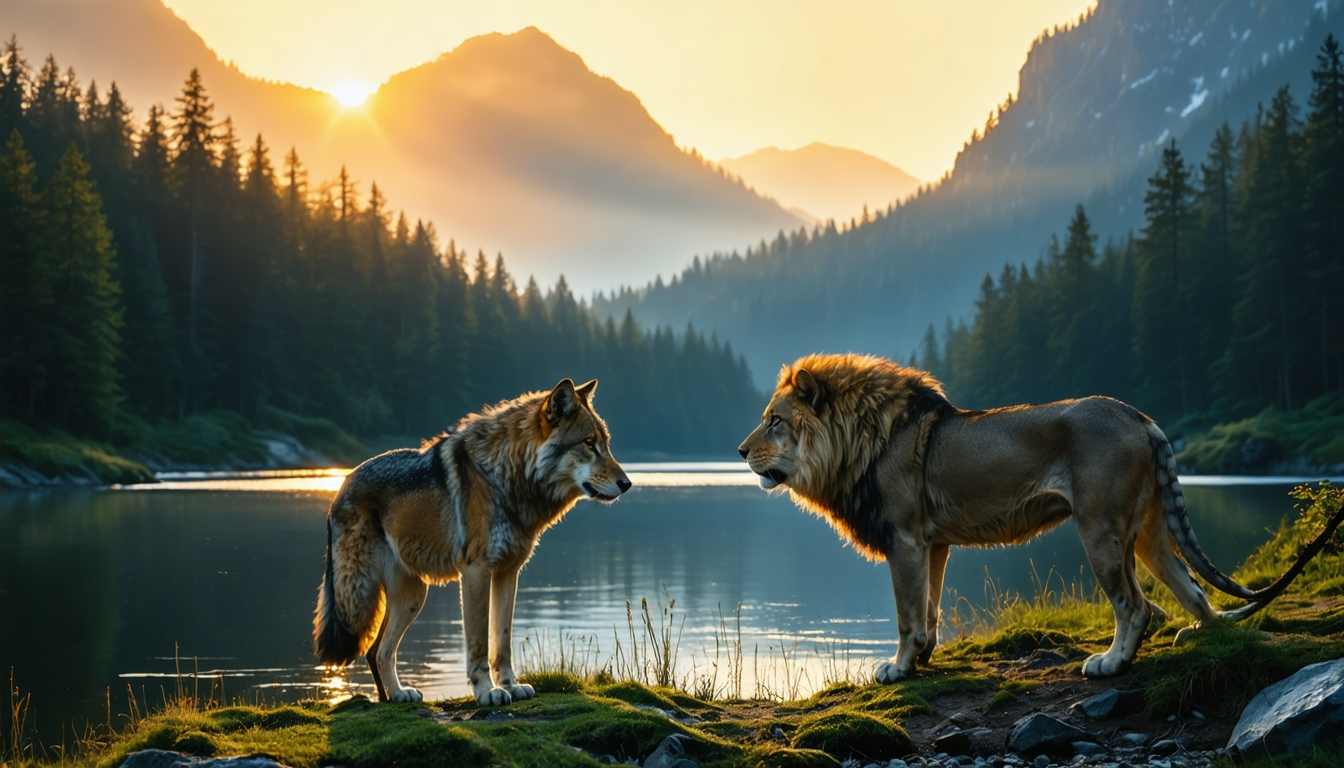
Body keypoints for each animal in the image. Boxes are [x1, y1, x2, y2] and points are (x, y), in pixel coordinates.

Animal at [313, 378, 631, 705]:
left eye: (605, 444)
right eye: (589, 444)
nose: (627, 484)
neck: (507, 477)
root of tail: (340, 486)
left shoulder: (508, 573)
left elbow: (502, 642)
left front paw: (510, 686)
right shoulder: (476, 571)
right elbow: (478, 642)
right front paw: (487, 691)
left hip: (412, 598)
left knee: (379, 650)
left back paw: (396, 695)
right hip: (358, 599)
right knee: (370, 647)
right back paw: (392, 696)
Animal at [738, 353, 1344, 681]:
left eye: (775, 420)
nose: (740, 452)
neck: (854, 442)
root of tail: (1139, 416)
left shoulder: (905, 539)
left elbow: (909, 616)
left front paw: (899, 669)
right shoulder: (933, 544)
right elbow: (929, 610)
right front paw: (923, 661)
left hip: (1098, 529)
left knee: (1137, 606)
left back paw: (1111, 663)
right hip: (1148, 534)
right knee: (1194, 593)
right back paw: (1206, 641)